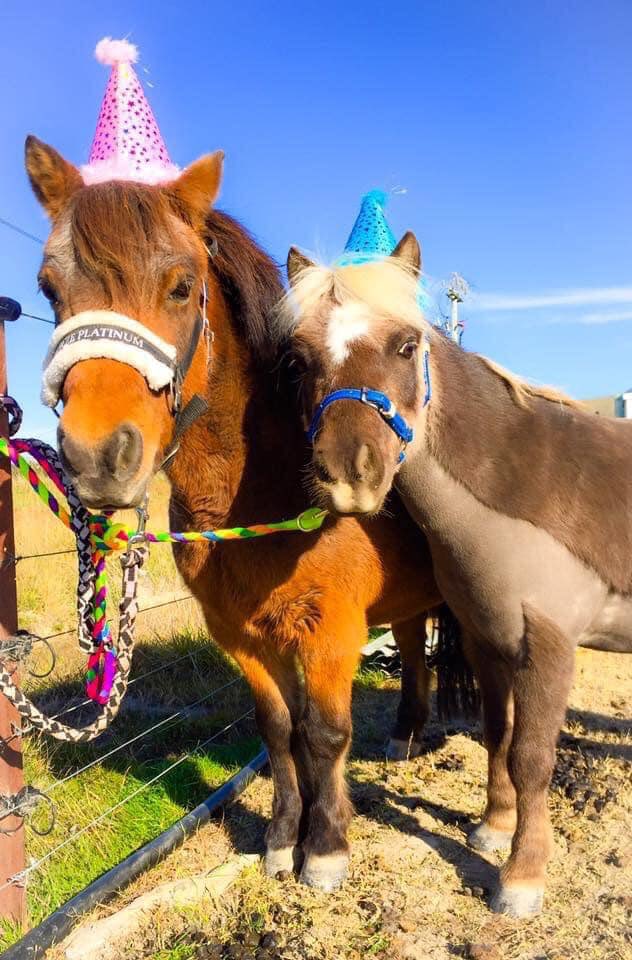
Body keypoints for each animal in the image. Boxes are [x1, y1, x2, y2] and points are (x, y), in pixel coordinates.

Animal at [24, 137, 452, 893]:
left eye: (180, 285)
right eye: (50, 288)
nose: (98, 457)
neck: (267, 491)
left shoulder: (332, 633)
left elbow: (325, 734)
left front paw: (327, 848)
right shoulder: (241, 636)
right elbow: (280, 730)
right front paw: (283, 838)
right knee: (412, 649)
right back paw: (405, 733)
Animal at [280, 234, 632, 916]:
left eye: (405, 345)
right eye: (300, 359)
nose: (351, 473)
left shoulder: (550, 646)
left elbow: (532, 757)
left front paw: (521, 880)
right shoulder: (488, 639)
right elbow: (497, 735)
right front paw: (493, 829)